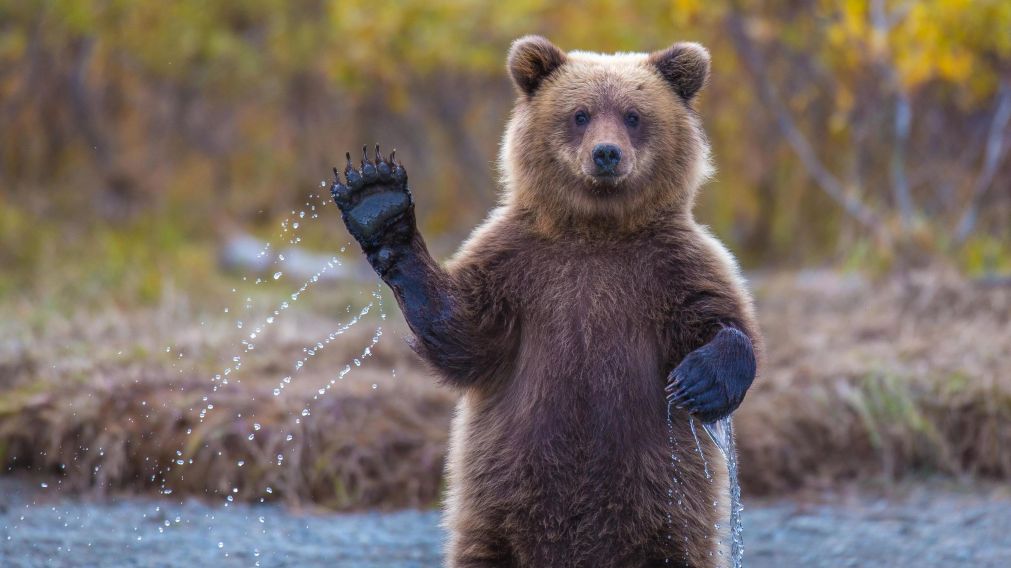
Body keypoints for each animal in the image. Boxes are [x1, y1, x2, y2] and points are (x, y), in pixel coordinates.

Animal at [331, 36, 761, 568]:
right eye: (580, 114)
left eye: (633, 115)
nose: (606, 154)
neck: (596, 229)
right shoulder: (519, 265)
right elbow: (463, 333)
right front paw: (377, 199)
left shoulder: (673, 265)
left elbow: (722, 318)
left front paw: (699, 381)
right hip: (496, 509)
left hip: (667, 512)